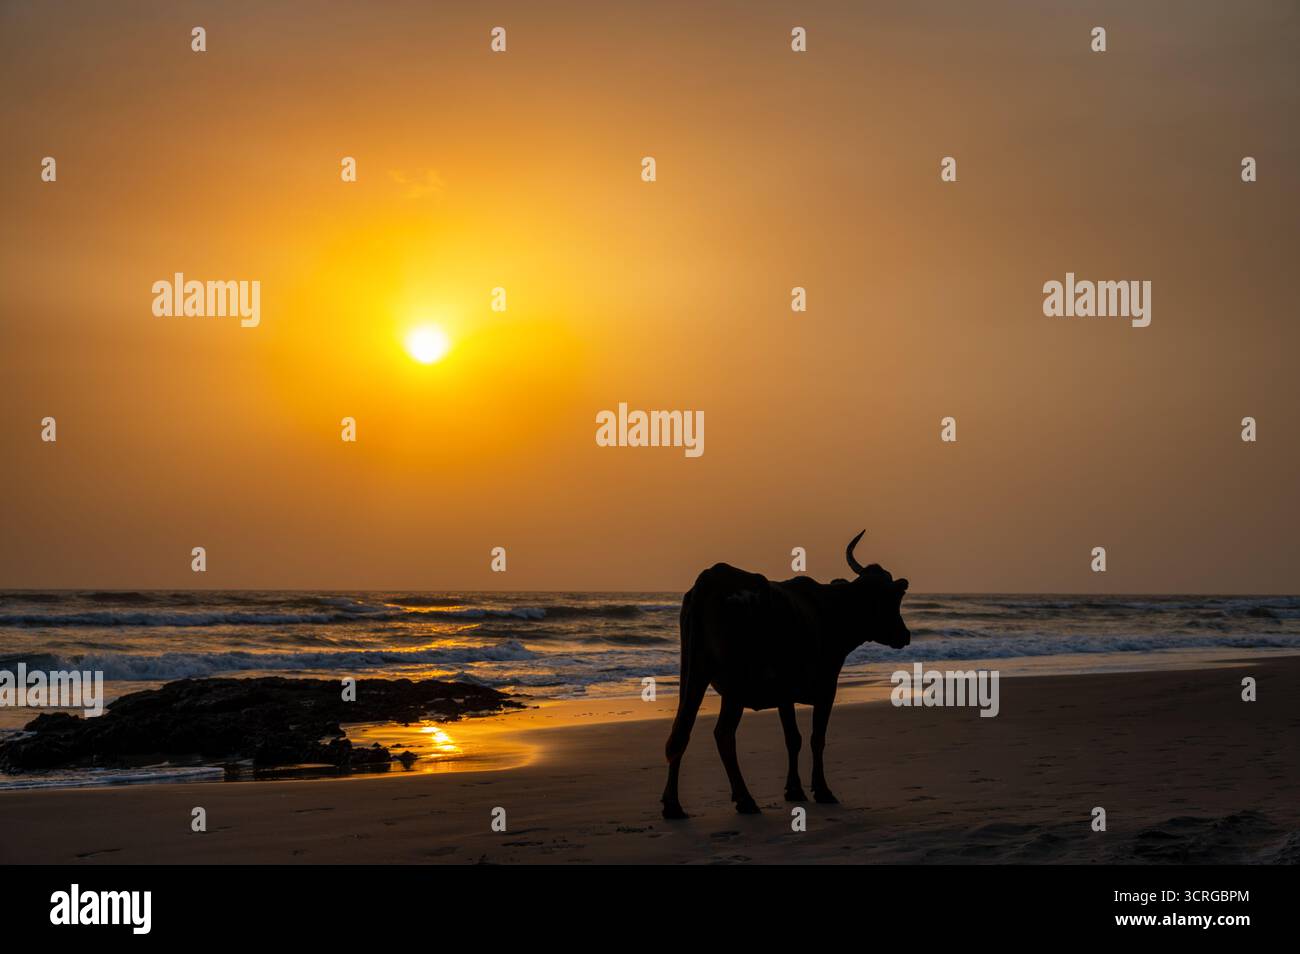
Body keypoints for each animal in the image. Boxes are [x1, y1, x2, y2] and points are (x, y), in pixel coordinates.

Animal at [661, 530, 910, 818]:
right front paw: (821, 790)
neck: (831, 611)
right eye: (892, 599)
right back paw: (745, 799)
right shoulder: (826, 688)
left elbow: (793, 738)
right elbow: (815, 738)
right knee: (723, 734)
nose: (905, 635)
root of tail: (710, 578)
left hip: (693, 674)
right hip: (733, 687)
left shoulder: (784, 695)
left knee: (681, 730)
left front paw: (794, 790)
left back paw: (673, 805)